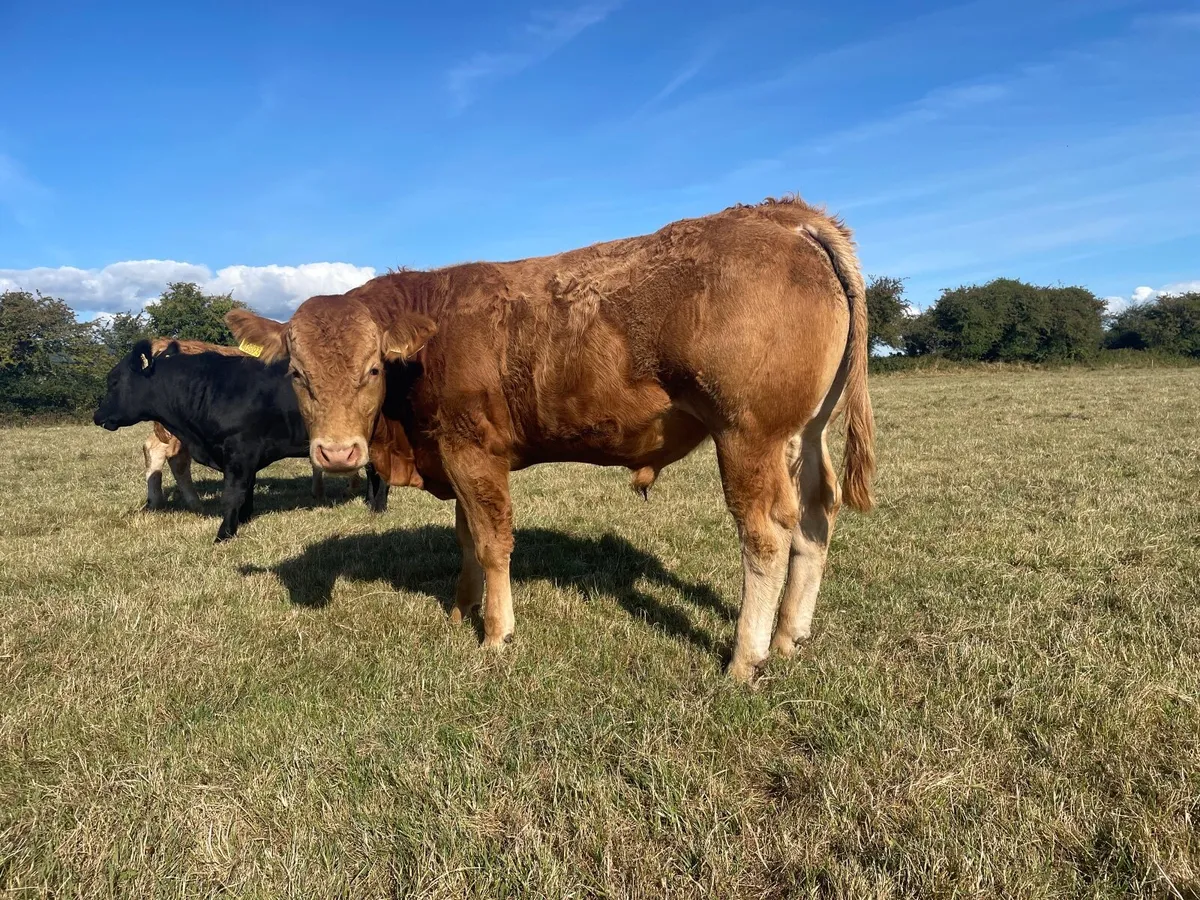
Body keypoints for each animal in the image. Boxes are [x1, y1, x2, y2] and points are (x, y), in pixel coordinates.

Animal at [226, 197, 875, 682]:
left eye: (371, 369)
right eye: (296, 372)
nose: (337, 453)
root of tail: (781, 215)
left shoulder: (473, 451)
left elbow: (492, 542)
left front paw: (495, 633)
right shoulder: (453, 453)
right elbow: (465, 538)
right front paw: (462, 610)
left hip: (748, 436)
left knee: (766, 534)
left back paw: (746, 658)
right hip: (806, 434)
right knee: (816, 519)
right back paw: (790, 634)